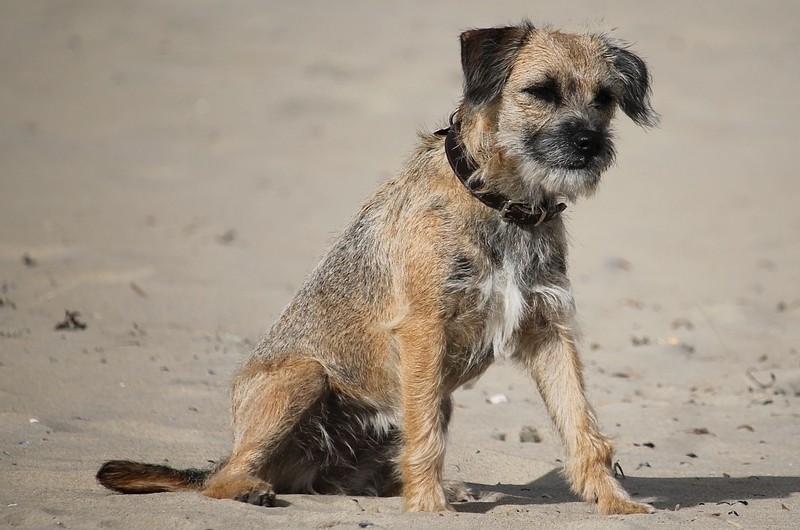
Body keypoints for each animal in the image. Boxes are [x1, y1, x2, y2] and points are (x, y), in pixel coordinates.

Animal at [98, 20, 656, 512]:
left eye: (604, 98)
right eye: (540, 91)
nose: (589, 143)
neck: (502, 203)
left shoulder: (548, 330)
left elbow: (581, 427)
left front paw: (615, 502)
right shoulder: (424, 330)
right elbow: (426, 438)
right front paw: (428, 508)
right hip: (303, 376)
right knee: (223, 477)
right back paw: (250, 488)